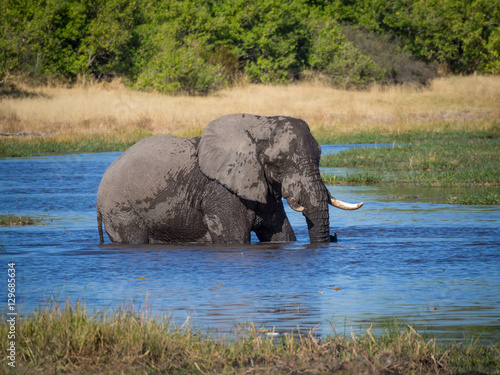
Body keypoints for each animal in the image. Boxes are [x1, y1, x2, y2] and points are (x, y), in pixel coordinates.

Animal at [96, 113, 364, 245]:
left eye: (320, 155)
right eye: (279, 162)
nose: (334, 237)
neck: (258, 125)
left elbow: (281, 235)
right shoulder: (220, 192)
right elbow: (234, 238)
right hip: (120, 209)